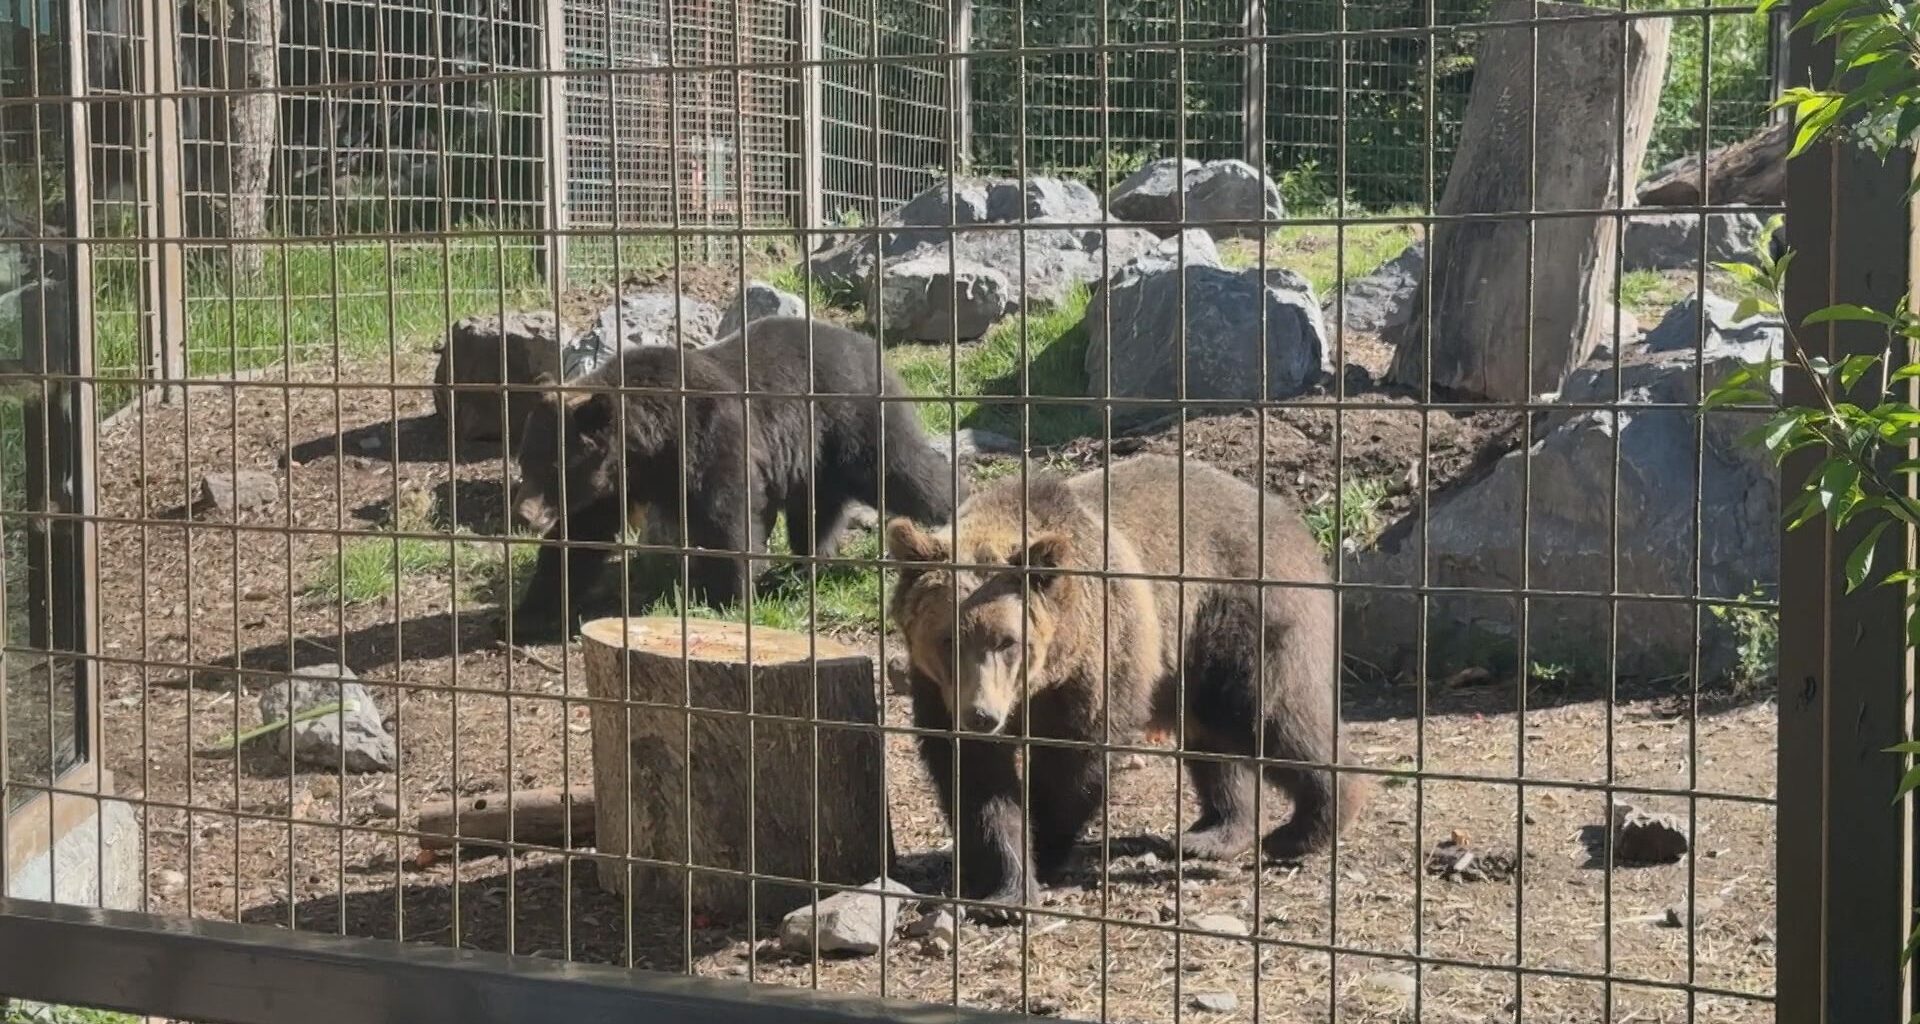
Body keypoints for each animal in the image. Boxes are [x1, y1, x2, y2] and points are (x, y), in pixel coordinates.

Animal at [509, 316, 963, 640]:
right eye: (524, 462)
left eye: (555, 468)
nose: (524, 515)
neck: (650, 446)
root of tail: (868, 344)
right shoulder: (612, 484)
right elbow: (578, 539)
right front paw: (532, 610)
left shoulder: (711, 438)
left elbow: (727, 518)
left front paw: (724, 597)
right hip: (816, 456)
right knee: (816, 511)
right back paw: (804, 565)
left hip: (852, 417)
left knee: (904, 471)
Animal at [886, 453, 1363, 921]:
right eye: (948, 639)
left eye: (1008, 641)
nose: (982, 715)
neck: (1043, 678)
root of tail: (1287, 516)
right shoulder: (939, 689)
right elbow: (976, 778)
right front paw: (1004, 888)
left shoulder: (1097, 663)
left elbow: (1073, 765)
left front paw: (1044, 845)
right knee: (1214, 741)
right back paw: (1215, 831)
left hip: (1232, 614)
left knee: (1266, 712)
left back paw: (1304, 826)